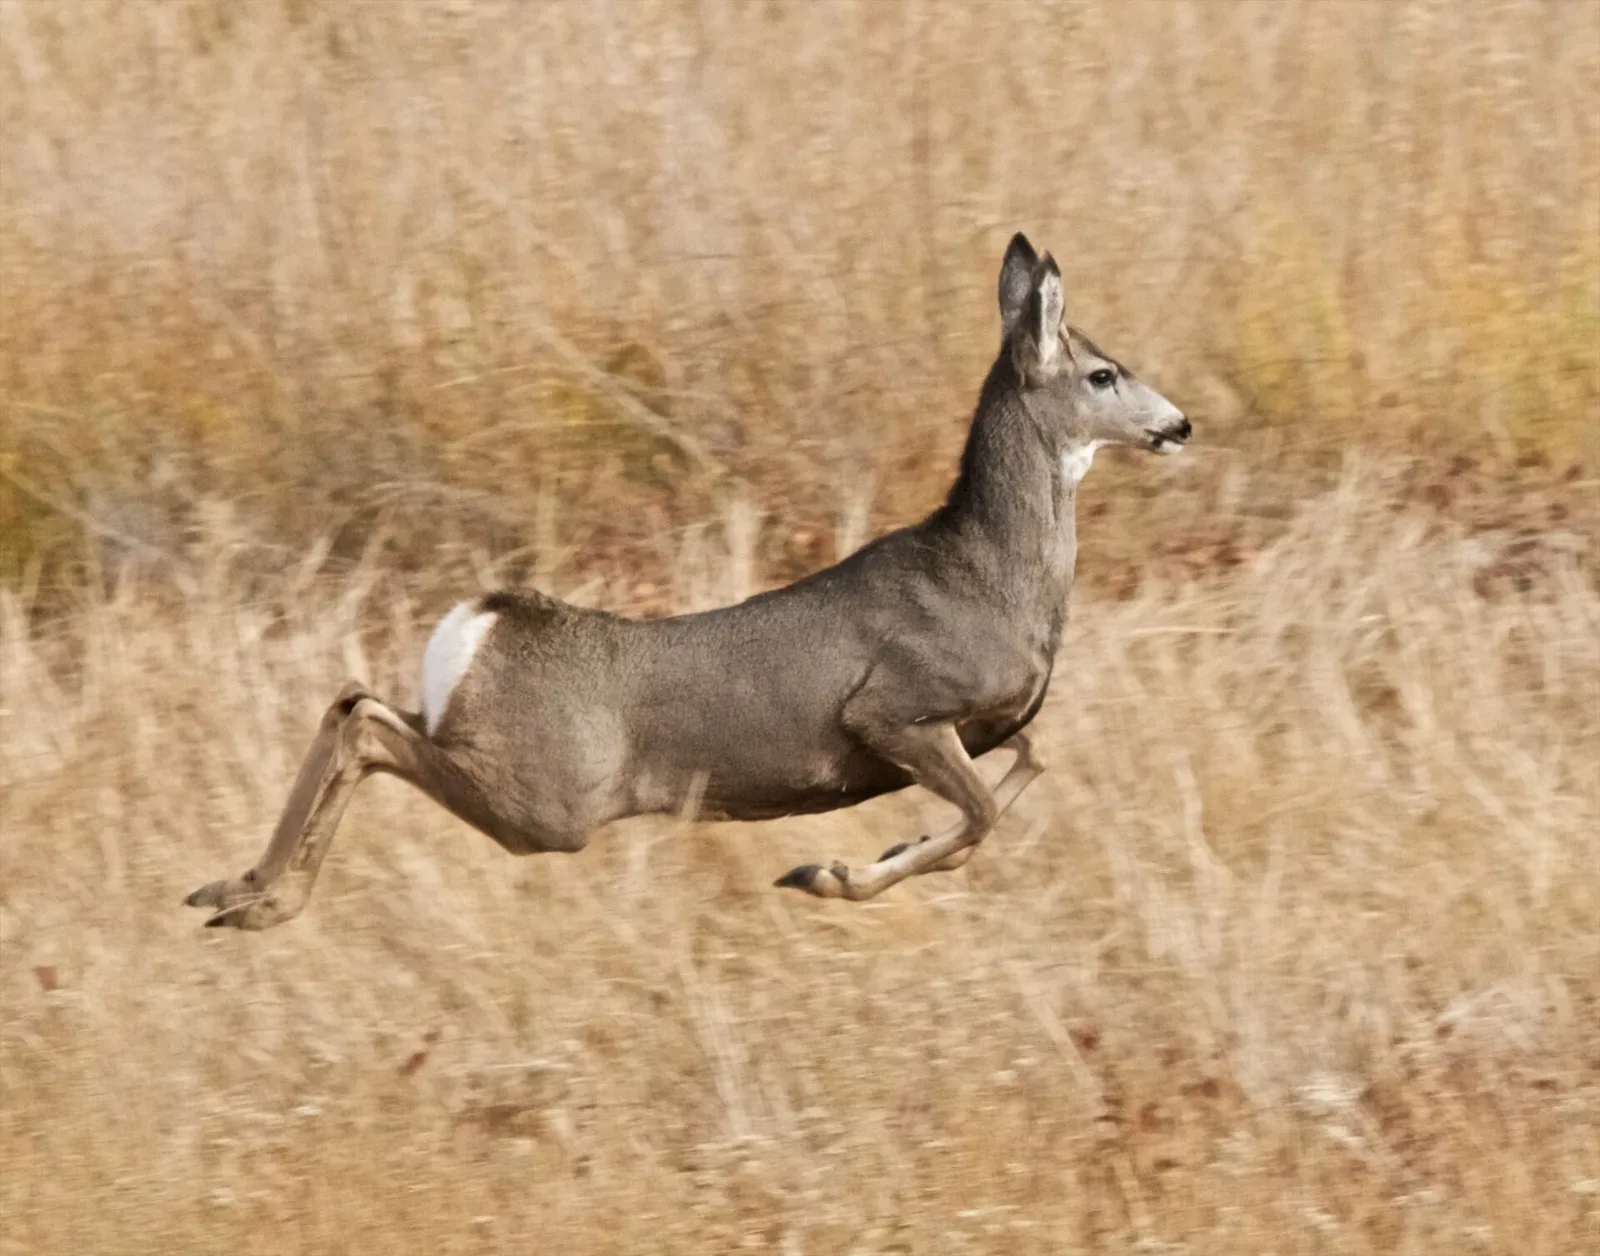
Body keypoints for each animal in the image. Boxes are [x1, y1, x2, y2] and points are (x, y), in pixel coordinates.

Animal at [187, 233, 1190, 929]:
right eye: (1103, 373)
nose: (1180, 424)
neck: (992, 576)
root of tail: (484, 621)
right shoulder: (892, 709)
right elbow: (983, 813)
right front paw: (827, 873)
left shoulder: (981, 729)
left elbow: (1025, 767)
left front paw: (878, 848)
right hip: (550, 800)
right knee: (368, 724)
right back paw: (258, 902)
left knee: (353, 698)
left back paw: (232, 890)